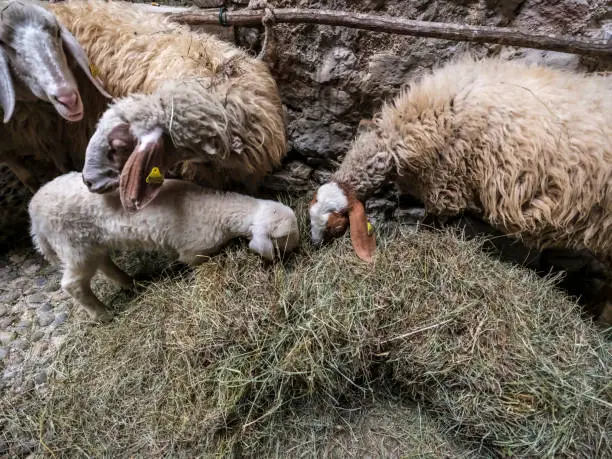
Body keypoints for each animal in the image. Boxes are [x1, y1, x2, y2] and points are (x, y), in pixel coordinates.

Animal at [0, 0, 111, 191]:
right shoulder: (6, 150)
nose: (69, 100)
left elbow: (64, 168)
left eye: (58, 32)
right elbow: (29, 179)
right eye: (5, 44)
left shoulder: (49, 135)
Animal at [28, 170, 302, 324]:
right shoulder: (194, 251)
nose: (298, 249)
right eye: (286, 238)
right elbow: (195, 263)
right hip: (74, 244)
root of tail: (33, 210)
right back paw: (102, 314)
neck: (219, 210)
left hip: (93, 241)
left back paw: (131, 283)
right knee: (73, 284)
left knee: (104, 263)